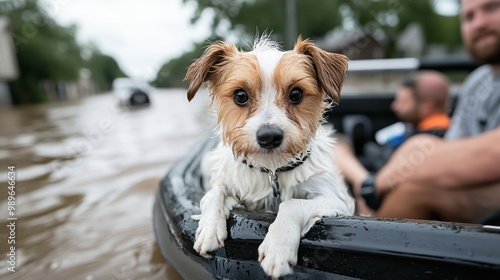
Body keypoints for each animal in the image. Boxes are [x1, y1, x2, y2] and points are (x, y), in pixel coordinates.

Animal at [186, 35, 354, 278]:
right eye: (240, 95)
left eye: (296, 94)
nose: (269, 136)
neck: (272, 170)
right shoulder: (226, 181)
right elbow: (213, 194)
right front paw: (209, 228)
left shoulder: (336, 201)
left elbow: (291, 204)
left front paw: (278, 246)